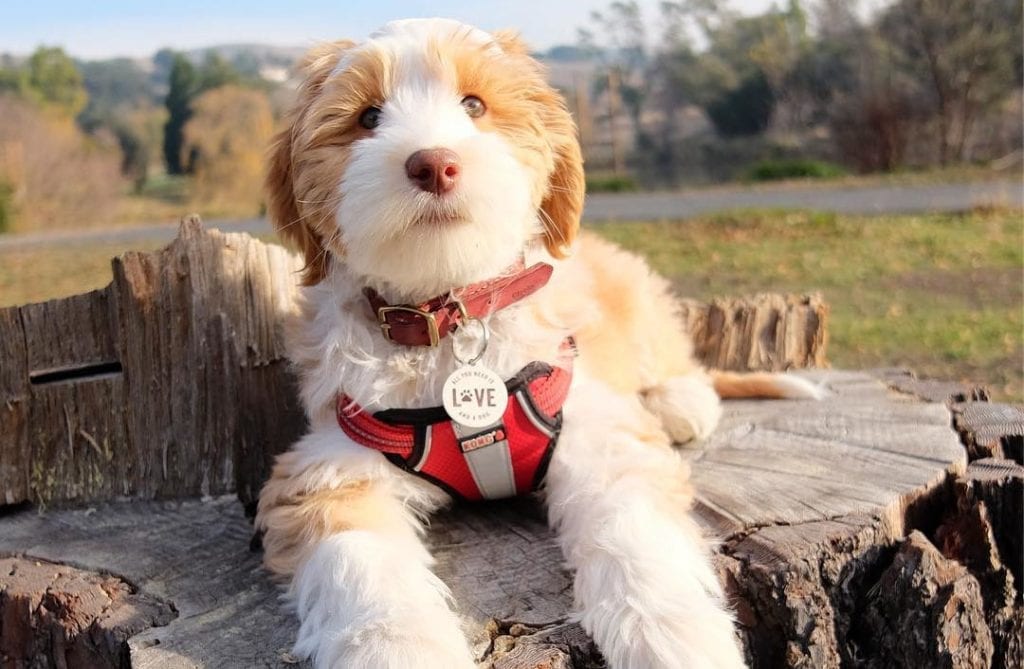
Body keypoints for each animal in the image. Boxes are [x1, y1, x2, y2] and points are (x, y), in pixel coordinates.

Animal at [258, 16, 823, 667]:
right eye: (368, 117)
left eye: (474, 105)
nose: (434, 164)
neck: (450, 314)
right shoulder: (333, 464)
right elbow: (361, 566)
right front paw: (400, 648)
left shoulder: (596, 429)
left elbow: (634, 529)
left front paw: (676, 634)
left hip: (635, 296)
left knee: (674, 358)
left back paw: (682, 402)